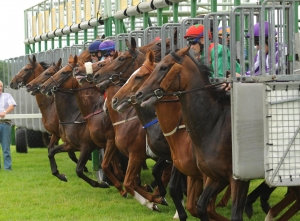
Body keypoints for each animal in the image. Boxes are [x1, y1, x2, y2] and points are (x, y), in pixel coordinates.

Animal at [111, 50, 231, 221]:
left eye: (138, 76)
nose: (114, 100)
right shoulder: (170, 157)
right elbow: (162, 177)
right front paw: (159, 200)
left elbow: (174, 184)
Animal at [135, 45, 250, 220]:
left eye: (164, 67)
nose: (139, 94)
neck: (214, 124)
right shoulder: (214, 174)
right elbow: (199, 206)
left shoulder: (237, 178)